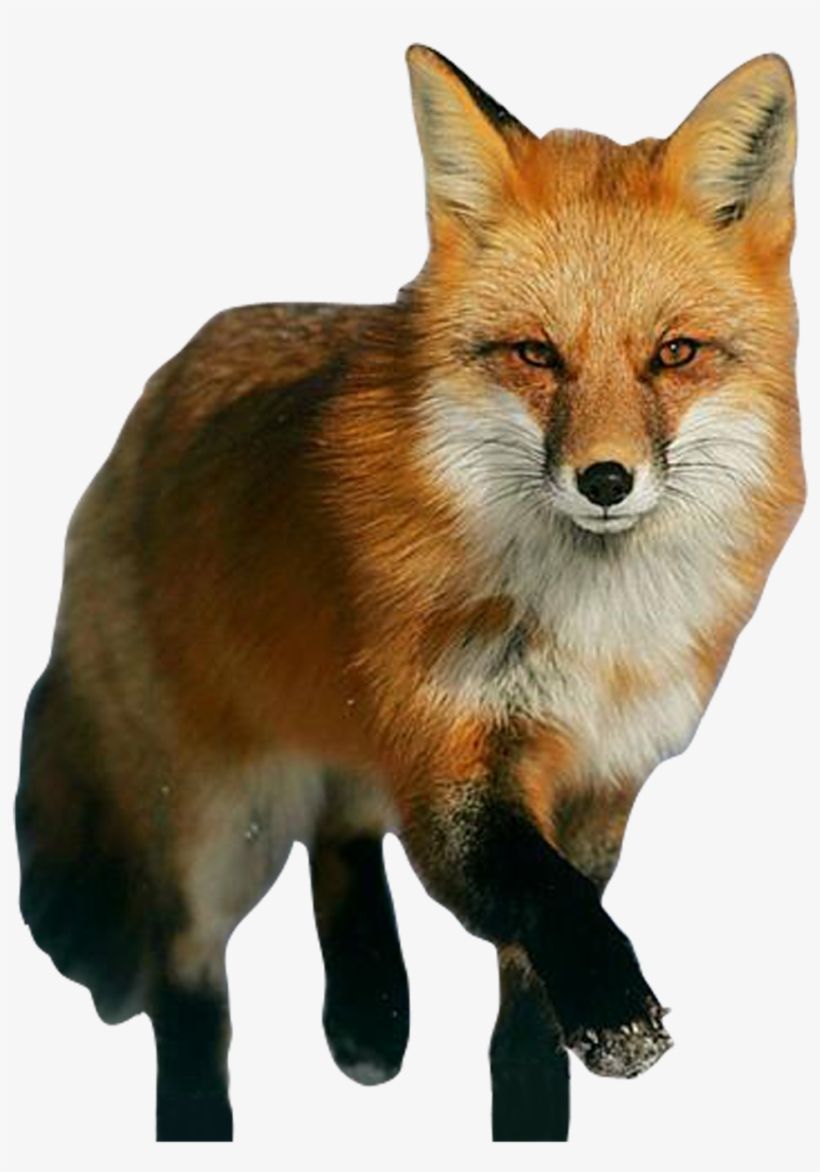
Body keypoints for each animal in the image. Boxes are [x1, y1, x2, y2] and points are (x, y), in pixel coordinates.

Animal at [16, 45, 804, 1143]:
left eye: (674, 354)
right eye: (535, 354)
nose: (605, 480)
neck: (591, 634)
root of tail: (150, 397)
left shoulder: (604, 777)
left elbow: (531, 992)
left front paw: (535, 1102)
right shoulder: (449, 752)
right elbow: (542, 891)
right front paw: (614, 1003)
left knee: (340, 827)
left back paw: (369, 1014)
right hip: (217, 823)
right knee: (191, 986)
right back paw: (206, 1112)